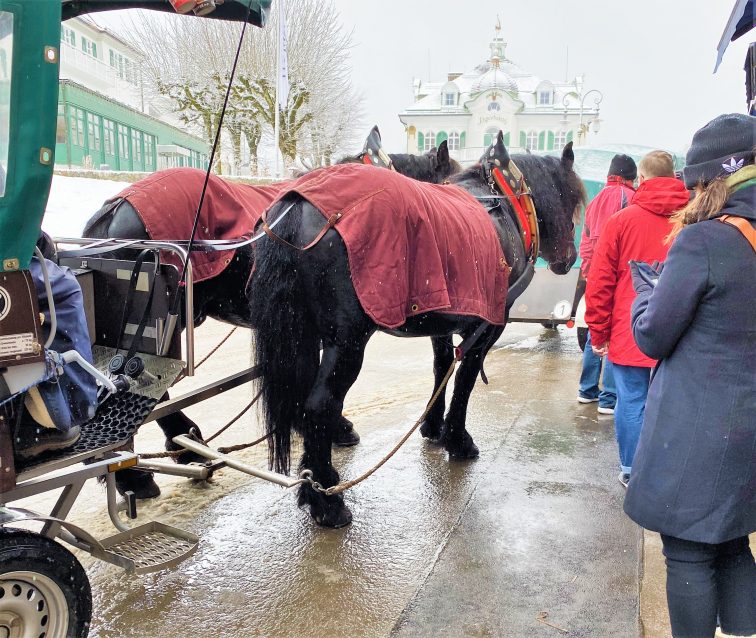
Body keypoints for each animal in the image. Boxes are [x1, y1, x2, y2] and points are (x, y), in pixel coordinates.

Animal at [248, 131, 584, 528]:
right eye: (572, 198)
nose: (569, 259)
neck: (504, 203)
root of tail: (298, 204)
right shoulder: (488, 325)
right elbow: (466, 377)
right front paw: (458, 438)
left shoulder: (445, 321)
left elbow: (442, 367)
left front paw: (433, 428)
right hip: (347, 342)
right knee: (318, 406)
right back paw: (327, 499)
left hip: (303, 336)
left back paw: (310, 484)